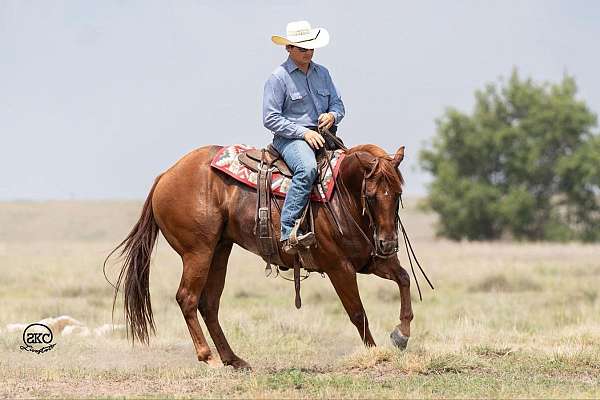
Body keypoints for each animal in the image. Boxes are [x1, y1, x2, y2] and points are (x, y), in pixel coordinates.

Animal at [109, 143, 412, 368]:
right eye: (370, 196)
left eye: (397, 193)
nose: (387, 243)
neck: (341, 196)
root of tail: (165, 175)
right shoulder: (340, 267)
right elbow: (358, 313)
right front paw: (374, 353)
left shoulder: (371, 261)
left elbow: (404, 279)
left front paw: (402, 334)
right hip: (198, 253)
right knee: (188, 298)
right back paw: (208, 356)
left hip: (219, 251)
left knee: (209, 303)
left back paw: (233, 359)